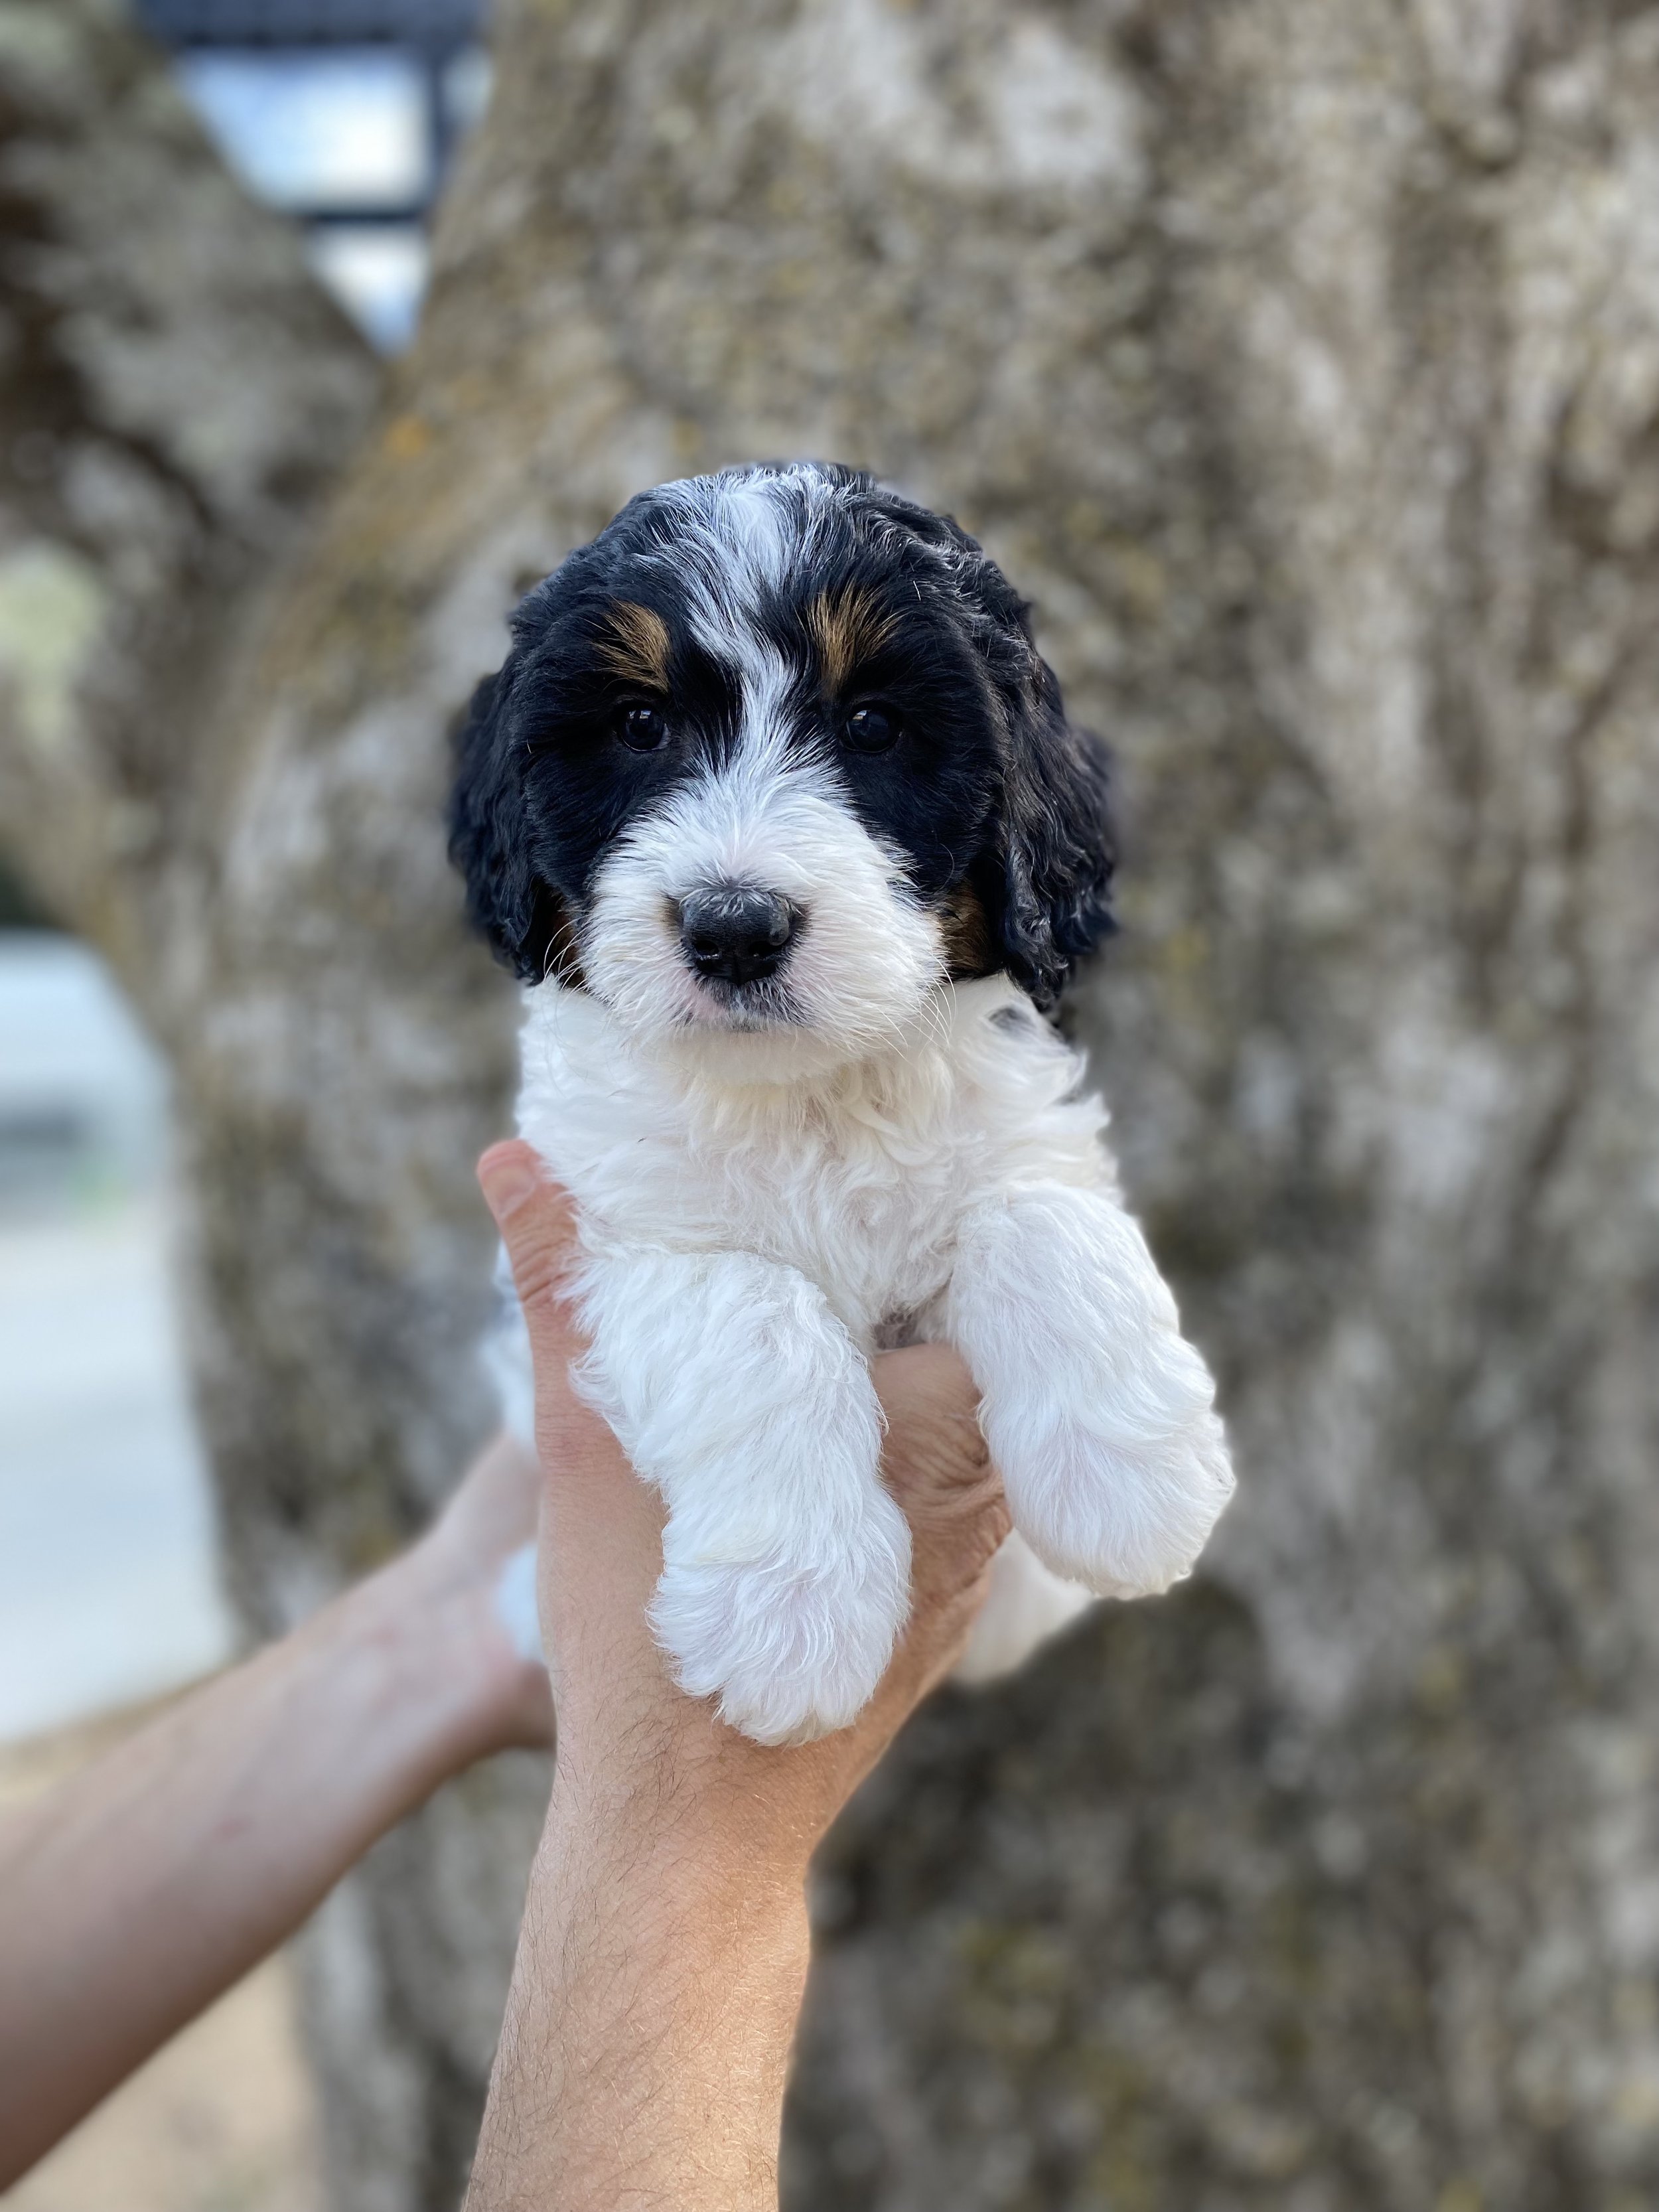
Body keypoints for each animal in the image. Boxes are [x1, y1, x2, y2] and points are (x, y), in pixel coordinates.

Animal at [451, 462, 1238, 1743]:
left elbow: (1042, 1214)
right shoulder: (605, 1229)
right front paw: (789, 1611)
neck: (808, 1095)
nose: (734, 926)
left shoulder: (1022, 1122)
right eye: (639, 725)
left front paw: (1131, 1482)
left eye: (873, 726)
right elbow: (751, 1307)